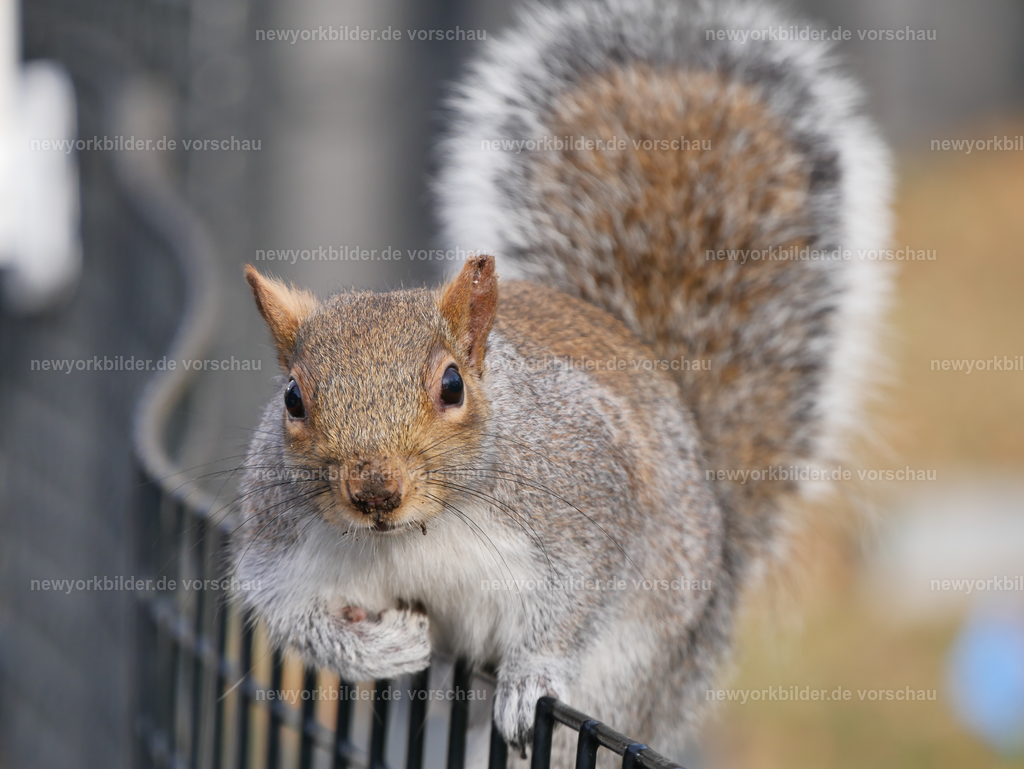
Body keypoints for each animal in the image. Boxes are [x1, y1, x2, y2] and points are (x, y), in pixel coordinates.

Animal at [232, 0, 891, 763]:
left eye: (453, 386)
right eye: (293, 399)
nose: (374, 492)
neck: (416, 531)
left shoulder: (587, 501)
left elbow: (576, 599)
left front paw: (530, 675)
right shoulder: (280, 544)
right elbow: (293, 619)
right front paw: (383, 647)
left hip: (637, 669)